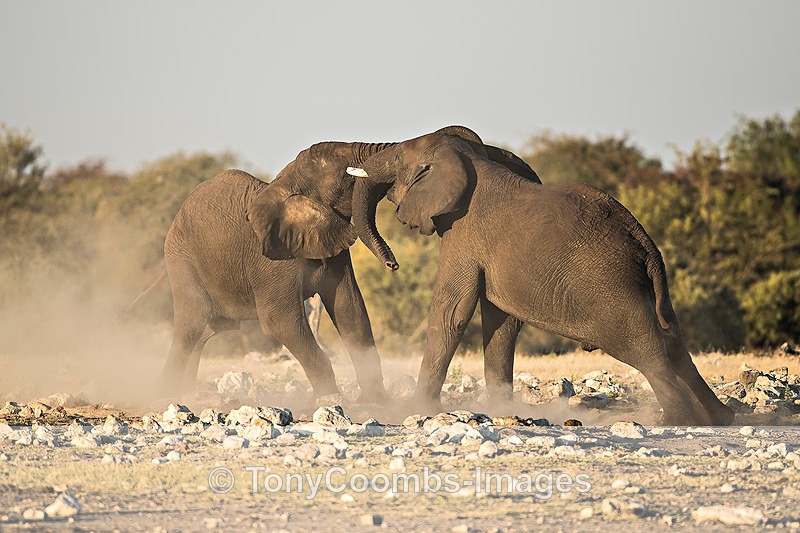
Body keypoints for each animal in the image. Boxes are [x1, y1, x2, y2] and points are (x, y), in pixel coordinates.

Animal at [157, 139, 404, 402]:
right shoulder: (271, 257)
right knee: (191, 324)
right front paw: (331, 400)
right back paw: (166, 393)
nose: (392, 265)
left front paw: (378, 403)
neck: (289, 181)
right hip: (181, 259)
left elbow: (350, 309)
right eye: (345, 172)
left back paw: (185, 393)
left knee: (208, 329)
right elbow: (280, 320)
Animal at [347, 127, 735, 426]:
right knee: (674, 340)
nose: (393, 265)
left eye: (398, 158)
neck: (469, 159)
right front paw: (500, 409)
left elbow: (451, 312)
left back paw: (678, 420)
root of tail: (644, 242)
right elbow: (501, 322)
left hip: (612, 290)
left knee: (645, 348)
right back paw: (720, 418)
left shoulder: (463, 233)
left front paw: (415, 409)